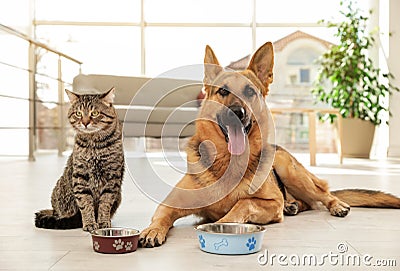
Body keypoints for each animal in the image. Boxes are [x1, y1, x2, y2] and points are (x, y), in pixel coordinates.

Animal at [35, 88, 124, 233]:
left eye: (95, 113)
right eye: (78, 113)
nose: (85, 122)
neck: (95, 145)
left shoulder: (112, 178)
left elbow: (105, 203)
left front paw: (103, 222)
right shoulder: (80, 176)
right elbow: (85, 203)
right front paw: (89, 223)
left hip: (119, 195)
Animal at [138, 42, 400, 249]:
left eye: (250, 91)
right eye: (222, 91)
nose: (238, 112)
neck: (228, 163)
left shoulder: (271, 203)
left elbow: (243, 203)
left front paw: (222, 223)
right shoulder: (170, 204)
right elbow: (160, 217)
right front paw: (151, 231)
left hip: (290, 170)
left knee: (324, 194)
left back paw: (335, 205)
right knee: (308, 202)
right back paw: (294, 206)